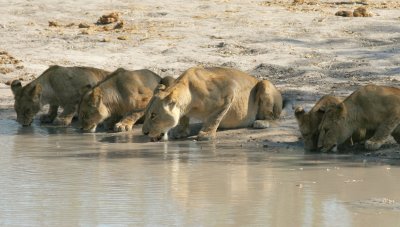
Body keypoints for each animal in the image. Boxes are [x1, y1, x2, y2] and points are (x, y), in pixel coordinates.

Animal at [141, 65, 284, 141]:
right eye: (147, 114)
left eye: (153, 115)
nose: (144, 133)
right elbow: (183, 117)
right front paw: (181, 131)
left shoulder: (228, 90)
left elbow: (215, 117)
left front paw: (206, 134)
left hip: (264, 83)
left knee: (273, 117)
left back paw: (261, 122)